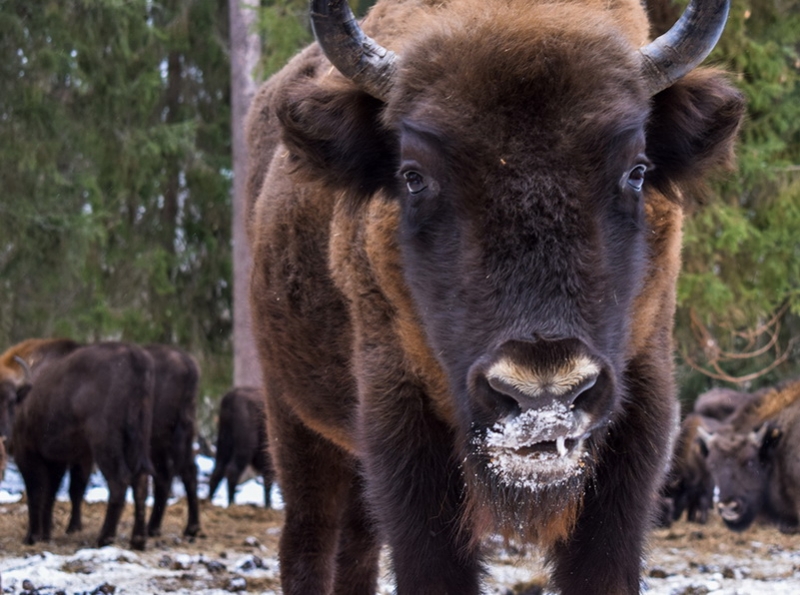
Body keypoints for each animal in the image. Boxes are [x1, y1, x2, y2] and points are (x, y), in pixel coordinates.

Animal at [9, 340, 155, 548]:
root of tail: (135, 359)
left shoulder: (27, 453)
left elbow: (36, 493)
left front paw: (32, 537)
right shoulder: (56, 459)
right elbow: (50, 494)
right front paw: (45, 534)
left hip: (105, 445)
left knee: (119, 481)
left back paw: (104, 539)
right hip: (138, 439)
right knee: (140, 481)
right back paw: (138, 540)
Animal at [245, 0, 744, 592]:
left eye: (637, 170)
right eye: (412, 176)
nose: (543, 395)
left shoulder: (641, 408)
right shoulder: (399, 418)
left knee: (357, 546)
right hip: (294, 420)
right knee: (309, 537)